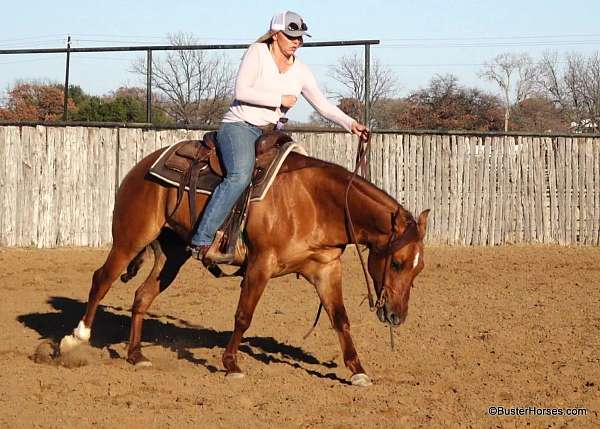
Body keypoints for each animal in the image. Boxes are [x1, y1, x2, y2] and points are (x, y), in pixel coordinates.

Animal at [59, 135, 426, 386]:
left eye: (418, 268)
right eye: (397, 263)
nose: (397, 316)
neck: (313, 201)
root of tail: (141, 167)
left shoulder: (326, 270)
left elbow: (341, 320)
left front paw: (358, 371)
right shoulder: (261, 265)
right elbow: (243, 316)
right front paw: (231, 363)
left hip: (172, 256)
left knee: (142, 297)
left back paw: (136, 355)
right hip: (129, 239)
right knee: (101, 280)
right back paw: (75, 338)